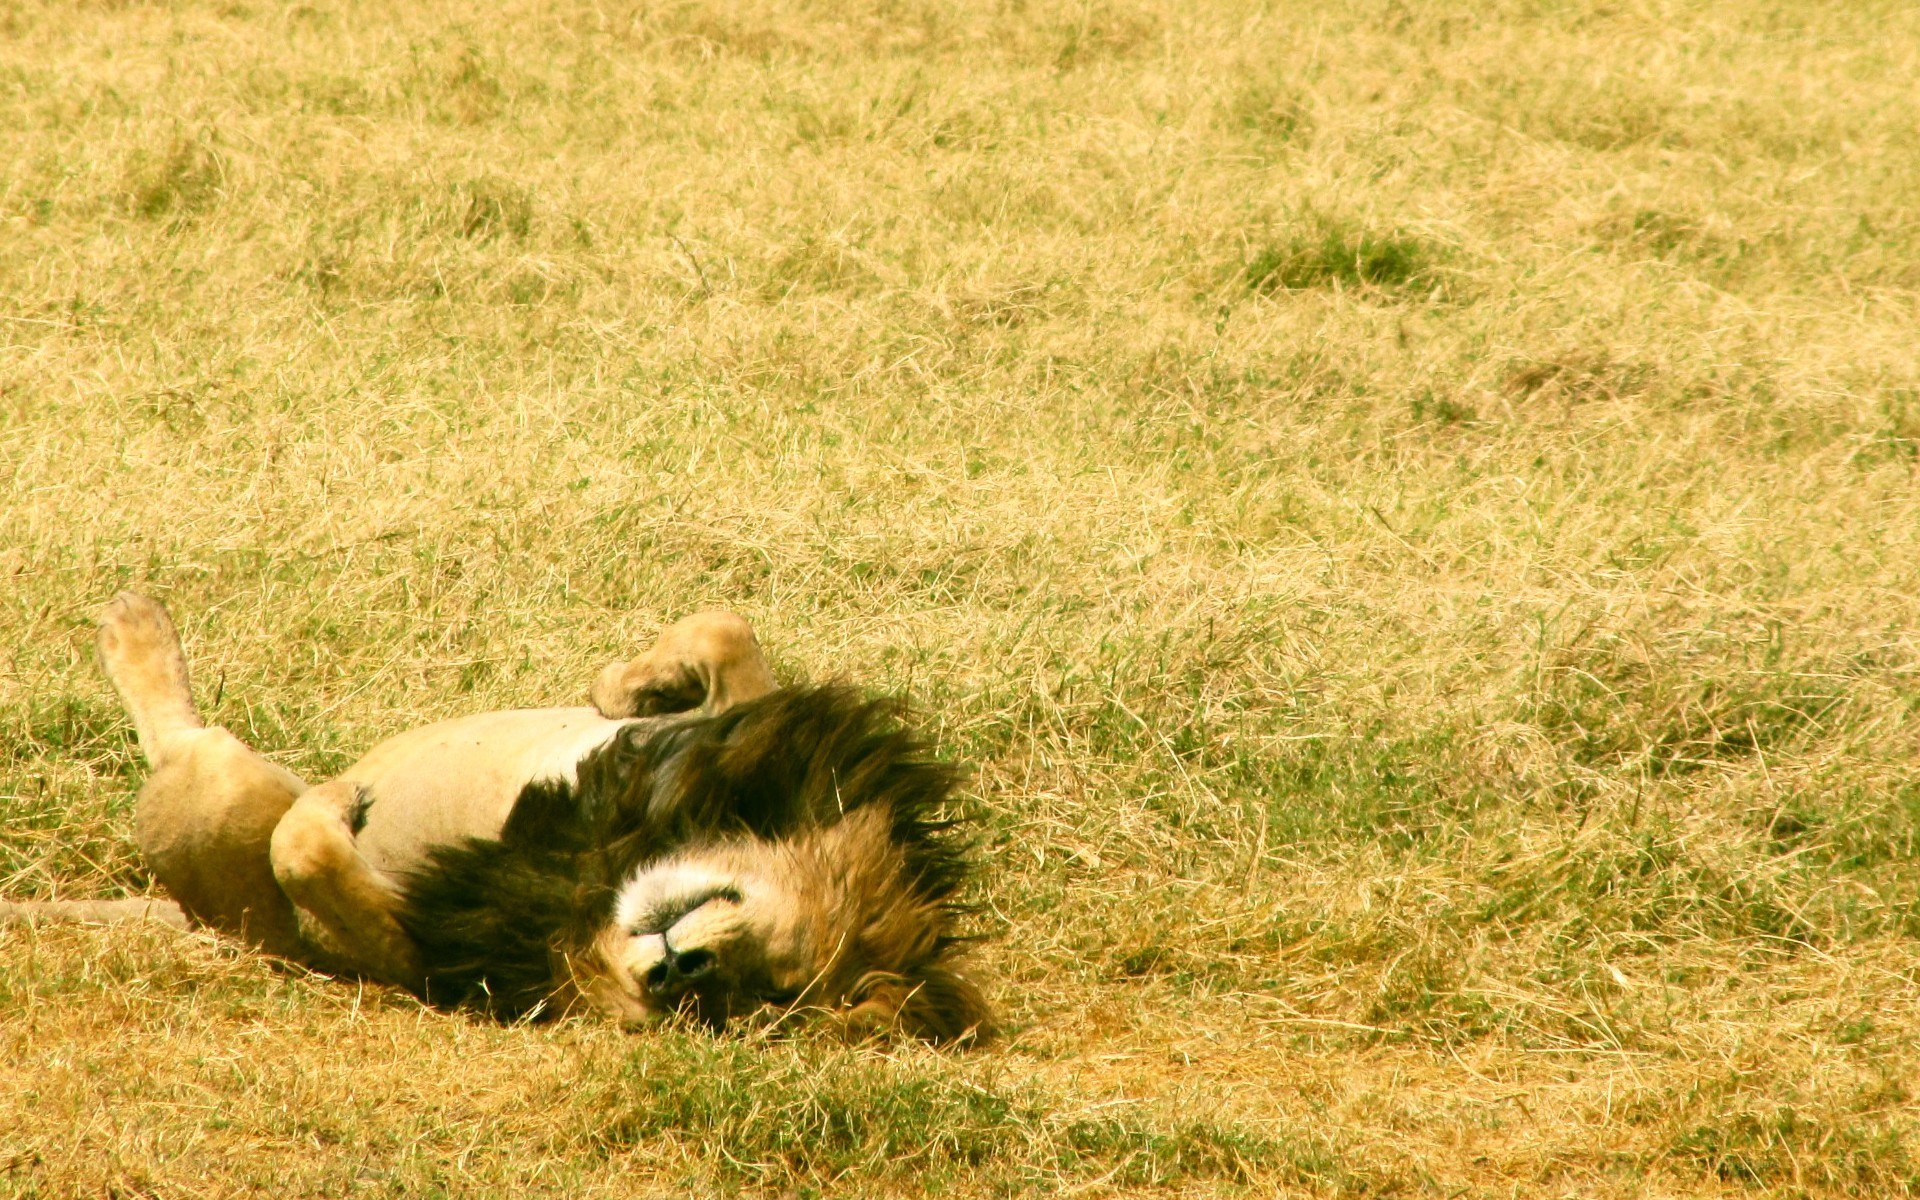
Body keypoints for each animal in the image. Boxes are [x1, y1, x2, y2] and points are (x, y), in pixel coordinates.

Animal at [0, 593, 990, 1043]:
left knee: (197, 757)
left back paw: (140, 638)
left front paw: (356, 854)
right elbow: (724, 633)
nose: (686, 972)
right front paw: (627, 684)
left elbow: (319, 867)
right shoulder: (750, 741)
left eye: (762, 998)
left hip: (225, 799)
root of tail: (182, 912)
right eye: (780, 979)